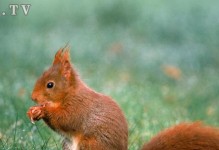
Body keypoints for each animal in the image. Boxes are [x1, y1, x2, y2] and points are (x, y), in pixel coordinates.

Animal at [27, 46, 219, 149]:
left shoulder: (79, 107)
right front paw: (33, 111)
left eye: (50, 85)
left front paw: (43, 110)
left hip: (91, 144)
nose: (33, 97)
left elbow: (66, 119)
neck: (69, 94)